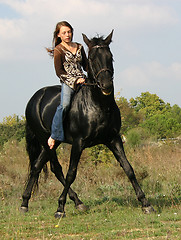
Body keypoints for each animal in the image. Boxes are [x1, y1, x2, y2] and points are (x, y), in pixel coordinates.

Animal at [20, 31, 155, 218]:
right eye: (91, 58)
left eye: (110, 57)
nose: (106, 85)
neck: (98, 105)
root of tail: (34, 99)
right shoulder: (78, 143)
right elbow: (71, 173)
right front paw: (60, 208)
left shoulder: (114, 139)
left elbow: (128, 169)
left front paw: (145, 203)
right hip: (46, 141)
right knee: (55, 168)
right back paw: (71, 202)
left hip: (52, 142)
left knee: (37, 167)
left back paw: (27, 202)